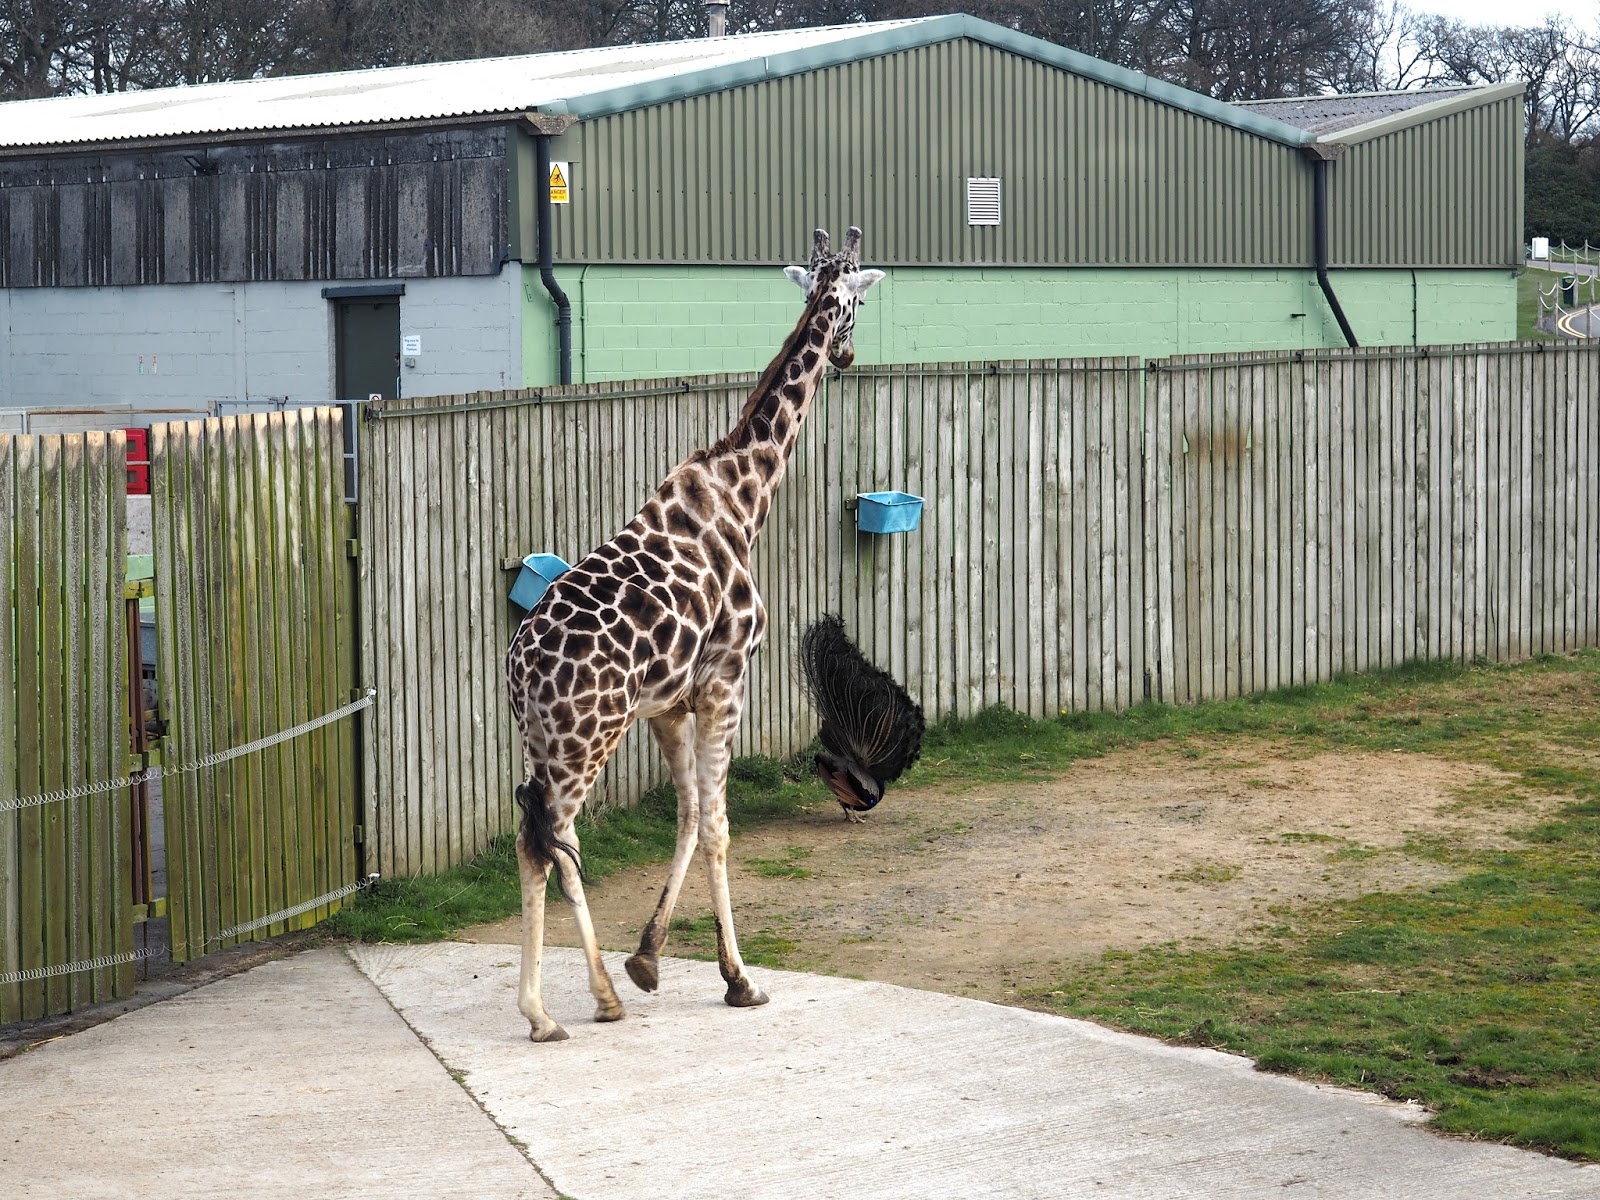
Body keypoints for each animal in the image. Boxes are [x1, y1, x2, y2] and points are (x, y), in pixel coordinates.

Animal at [502, 225, 889, 1043]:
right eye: (860, 302)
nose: (845, 356)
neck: (747, 492)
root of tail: (520, 666)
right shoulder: (726, 682)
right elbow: (716, 827)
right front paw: (740, 979)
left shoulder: (670, 706)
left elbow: (684, 819)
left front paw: (646, 962)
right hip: (585, 740)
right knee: (545, 841)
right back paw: (548, 1012)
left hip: (542, 740)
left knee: (551, 837)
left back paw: (593, 998)